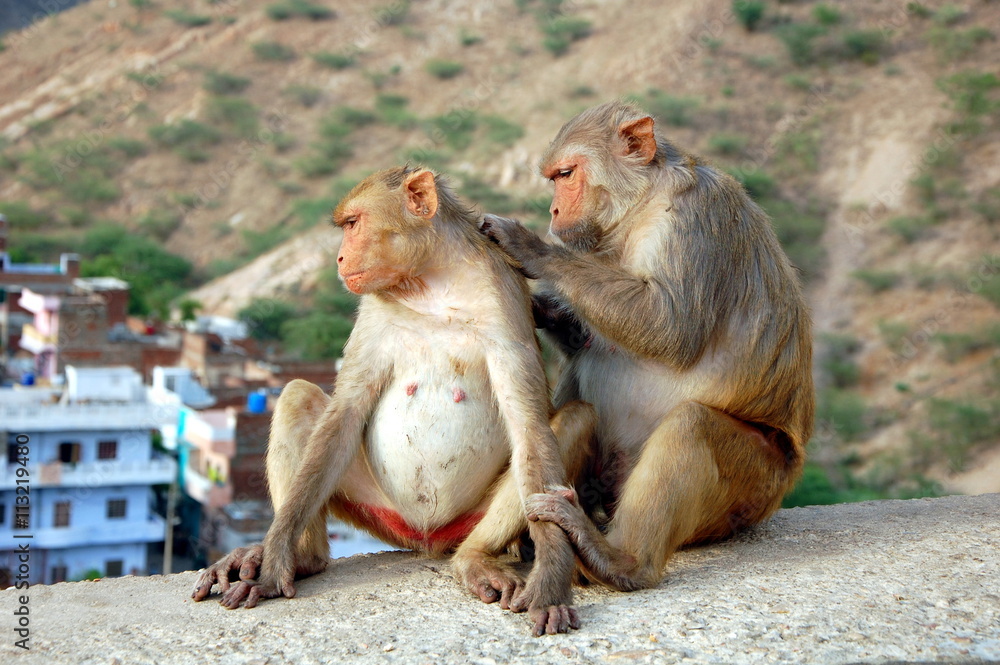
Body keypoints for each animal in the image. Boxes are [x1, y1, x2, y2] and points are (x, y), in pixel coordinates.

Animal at [190, 166, 597, 636]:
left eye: (353, 224)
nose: (339, 259)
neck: (431, 284)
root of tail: (427, 538)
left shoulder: (506, 295)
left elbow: (529, 425)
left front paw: (550, 583)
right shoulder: (373, 307)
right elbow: (346, 412)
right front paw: (274, 562)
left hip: (462, 521)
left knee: (574, 421)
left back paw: (474, 559)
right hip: (379, 508)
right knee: (295, 397)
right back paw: (303, 557)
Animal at [480, 100, 814, 592]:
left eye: (566, 174)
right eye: (554, 179)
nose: (554, 210)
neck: (640, 206)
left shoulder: (694, 214)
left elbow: (669, 326)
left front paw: (531, 248)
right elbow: (584, 340)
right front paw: (547, 310)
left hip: (755, 488)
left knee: (692, 424)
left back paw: (618, 561)